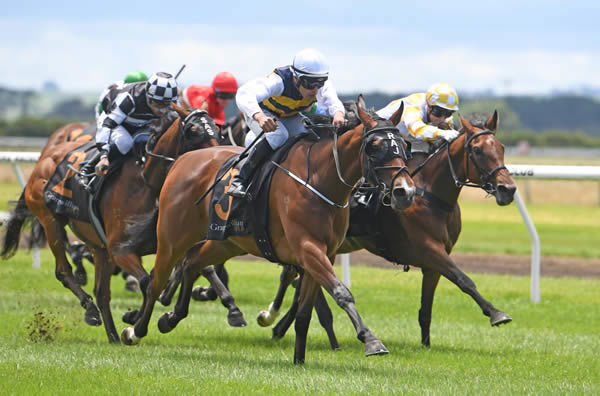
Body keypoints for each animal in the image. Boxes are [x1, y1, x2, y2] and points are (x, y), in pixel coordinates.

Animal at [0, 106, 231, 344]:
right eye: (194, 130)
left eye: (218, 130)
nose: (219, 161)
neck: (148, 184)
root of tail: (45, 156)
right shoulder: (120, 250)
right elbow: (148, 282)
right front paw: (135, 320)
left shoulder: (169, 244)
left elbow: (184, 271)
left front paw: (147, 318)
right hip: (50, 221)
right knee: (64, 271)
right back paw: (90, 310)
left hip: (98, 247)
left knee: (102, 292)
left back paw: (112, 335)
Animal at [118, 98, 418, 362]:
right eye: (374, 146)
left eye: (403, 145)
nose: (405, 192)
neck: (320, 179)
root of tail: (183, 160)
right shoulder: (308, 249)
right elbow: (341, 293)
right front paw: (371, 340)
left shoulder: (325, 254)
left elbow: (305, 313)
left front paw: (299, 360)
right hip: (172, 237)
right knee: (155, 281)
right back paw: (135, 330)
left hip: (227, 241)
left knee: (192, 263)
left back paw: (171, 318)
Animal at [258, 110, 516, 346]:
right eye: (478, 150)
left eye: (501, 147)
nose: (508, 189)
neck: (430, 194)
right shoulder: (429, 250)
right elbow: (464, 279)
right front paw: (497, 314)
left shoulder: (434, 260)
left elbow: (427, 308)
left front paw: (426, 345)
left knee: (297, 281)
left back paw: (279, 325)